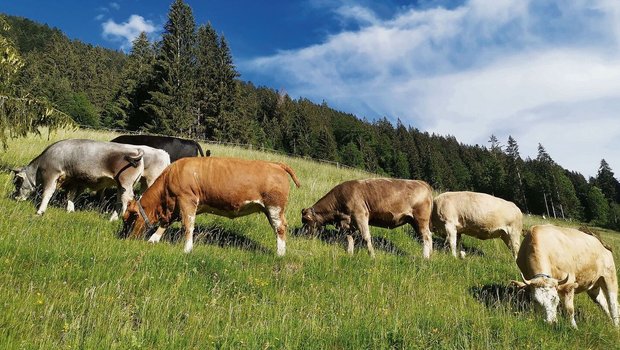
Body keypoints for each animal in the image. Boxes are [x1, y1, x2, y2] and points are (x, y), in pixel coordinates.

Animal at [10, 138, 146, 220]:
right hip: (121, 186)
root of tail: (136, 149)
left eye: (17, 183)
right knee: (120, 200)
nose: (16, 197)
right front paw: (70, 210)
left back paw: (118, 218)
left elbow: (47, 193)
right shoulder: (73, 180)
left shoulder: (51, 175)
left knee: (127, 200)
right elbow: (71, 195)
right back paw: (113, 217)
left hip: (125, 183)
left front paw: (40, 211)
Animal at [120, 157, 300, 256]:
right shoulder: (176, 206)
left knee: (280, 228)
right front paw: (153, 240)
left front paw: (187, 249)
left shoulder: (187, 200)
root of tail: (275, 164)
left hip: (275, 208)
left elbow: (188, 226)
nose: (125, 238)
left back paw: (280, 254)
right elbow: (165, 223)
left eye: (131, 217)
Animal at [300, 179, 432, 258]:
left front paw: (372, 256)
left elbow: (366, 237)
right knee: (427, 237)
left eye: (306, 221)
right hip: (414, 221)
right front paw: (350, 253)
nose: (303, 233)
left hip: (420, 219)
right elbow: (349, 238)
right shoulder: (348, 223)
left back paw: (425, 258)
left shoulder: (360, 215)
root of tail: (423, 183)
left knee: (426, 237)